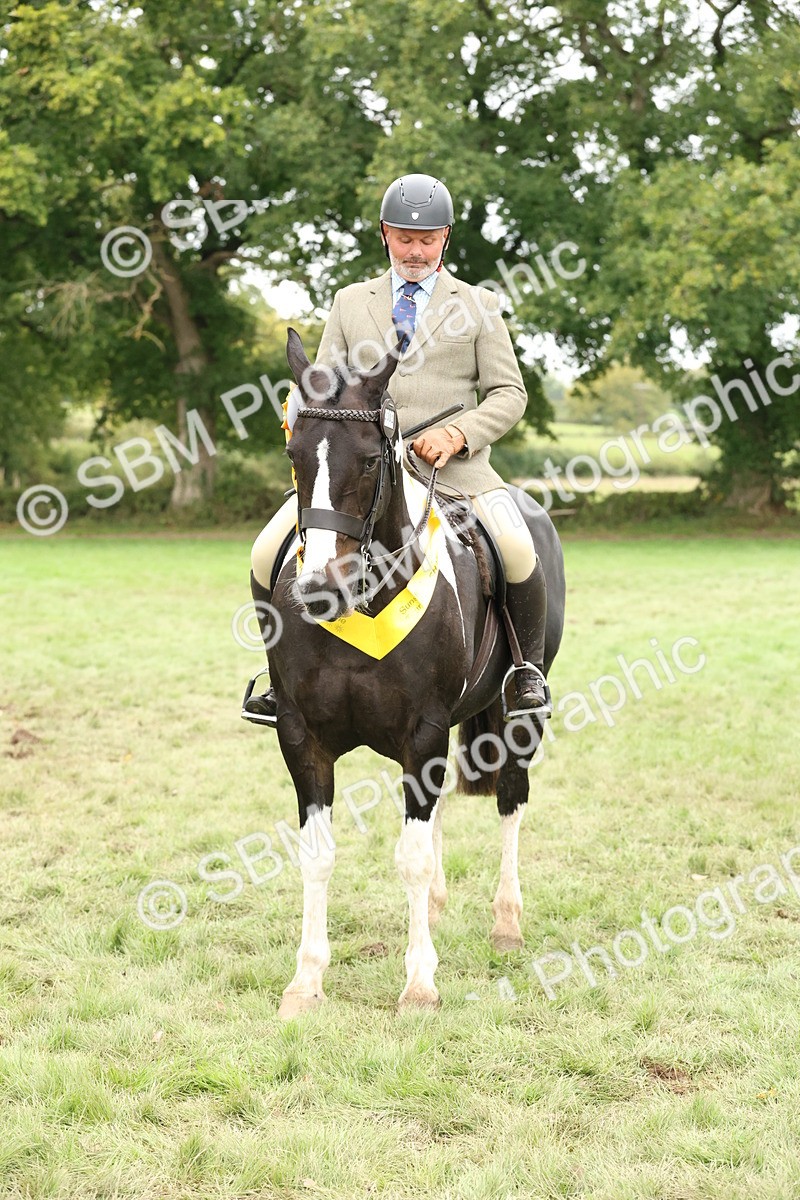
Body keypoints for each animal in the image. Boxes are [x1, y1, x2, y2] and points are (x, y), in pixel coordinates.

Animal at [263, 328, 565, 1017]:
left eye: (371, 460)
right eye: (294, 453)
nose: (317, 589)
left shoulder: (421, 733)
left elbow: (412, 857)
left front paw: (420, 984)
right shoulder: (302, 737)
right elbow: (318, 855)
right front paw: (306, 981)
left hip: (520, 713)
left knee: (511, 797)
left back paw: (506, 923)